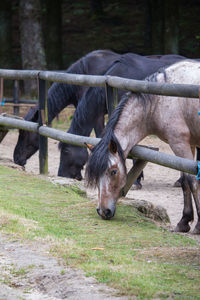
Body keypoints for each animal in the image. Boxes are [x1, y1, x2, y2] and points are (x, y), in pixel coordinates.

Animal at [86, 60, 200, 234]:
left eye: (114, 172)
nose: (103, 211)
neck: (161, 100)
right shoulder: (188, 144)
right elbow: (184, 181)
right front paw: (184, 221)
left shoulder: (179, 143)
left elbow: (192, 181)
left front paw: (198, 226)